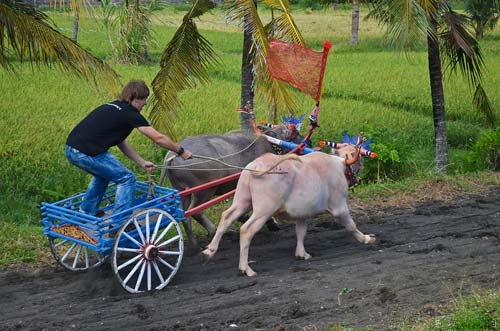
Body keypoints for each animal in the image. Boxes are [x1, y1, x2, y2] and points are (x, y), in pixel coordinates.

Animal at [160, 127, 292, 252]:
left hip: (181, 191)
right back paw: (212, 231)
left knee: (184, 216)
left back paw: (194, 246)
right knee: (195, 212)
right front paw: (271, 223)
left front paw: (244, 218)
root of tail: (171, 155)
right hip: (205, 190)